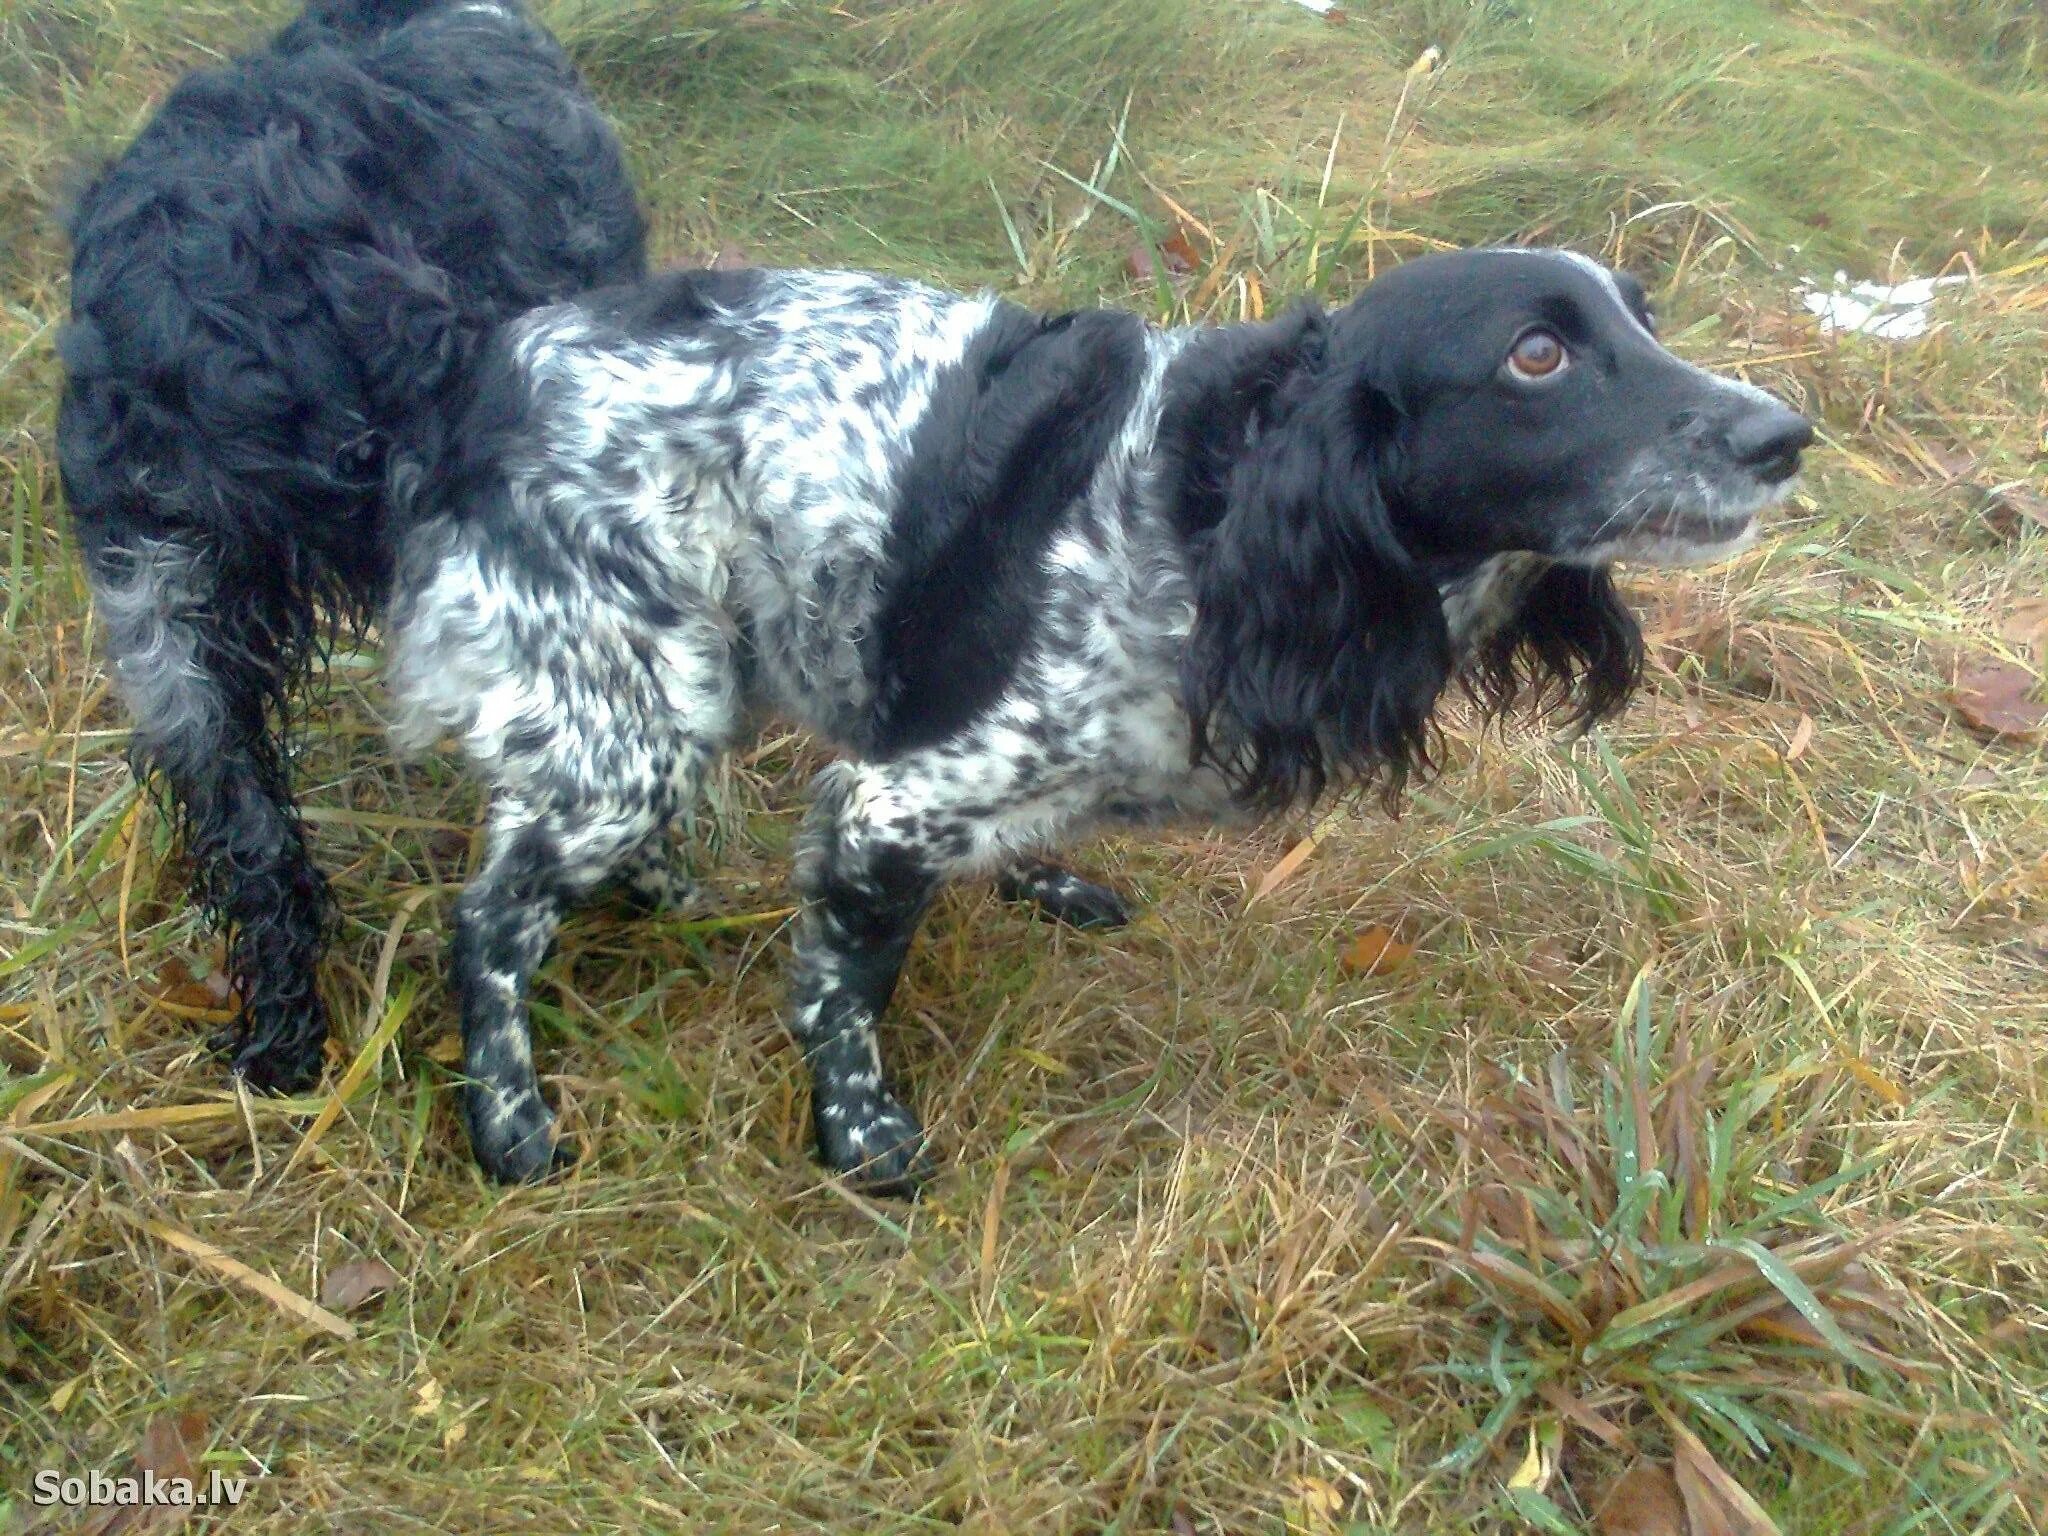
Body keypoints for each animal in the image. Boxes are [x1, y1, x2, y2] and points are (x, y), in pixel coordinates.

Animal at [385, 249, 1810, 1187]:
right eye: (1536, 353)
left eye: (1644, 321)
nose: (1783, 434)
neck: (1216, 517)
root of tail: (495, 364)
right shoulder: (882, 805)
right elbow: (848, 983)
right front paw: (856, 1133)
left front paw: (1041, 883)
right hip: (637, 711)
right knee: (491, 918)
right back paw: (506, 1117)